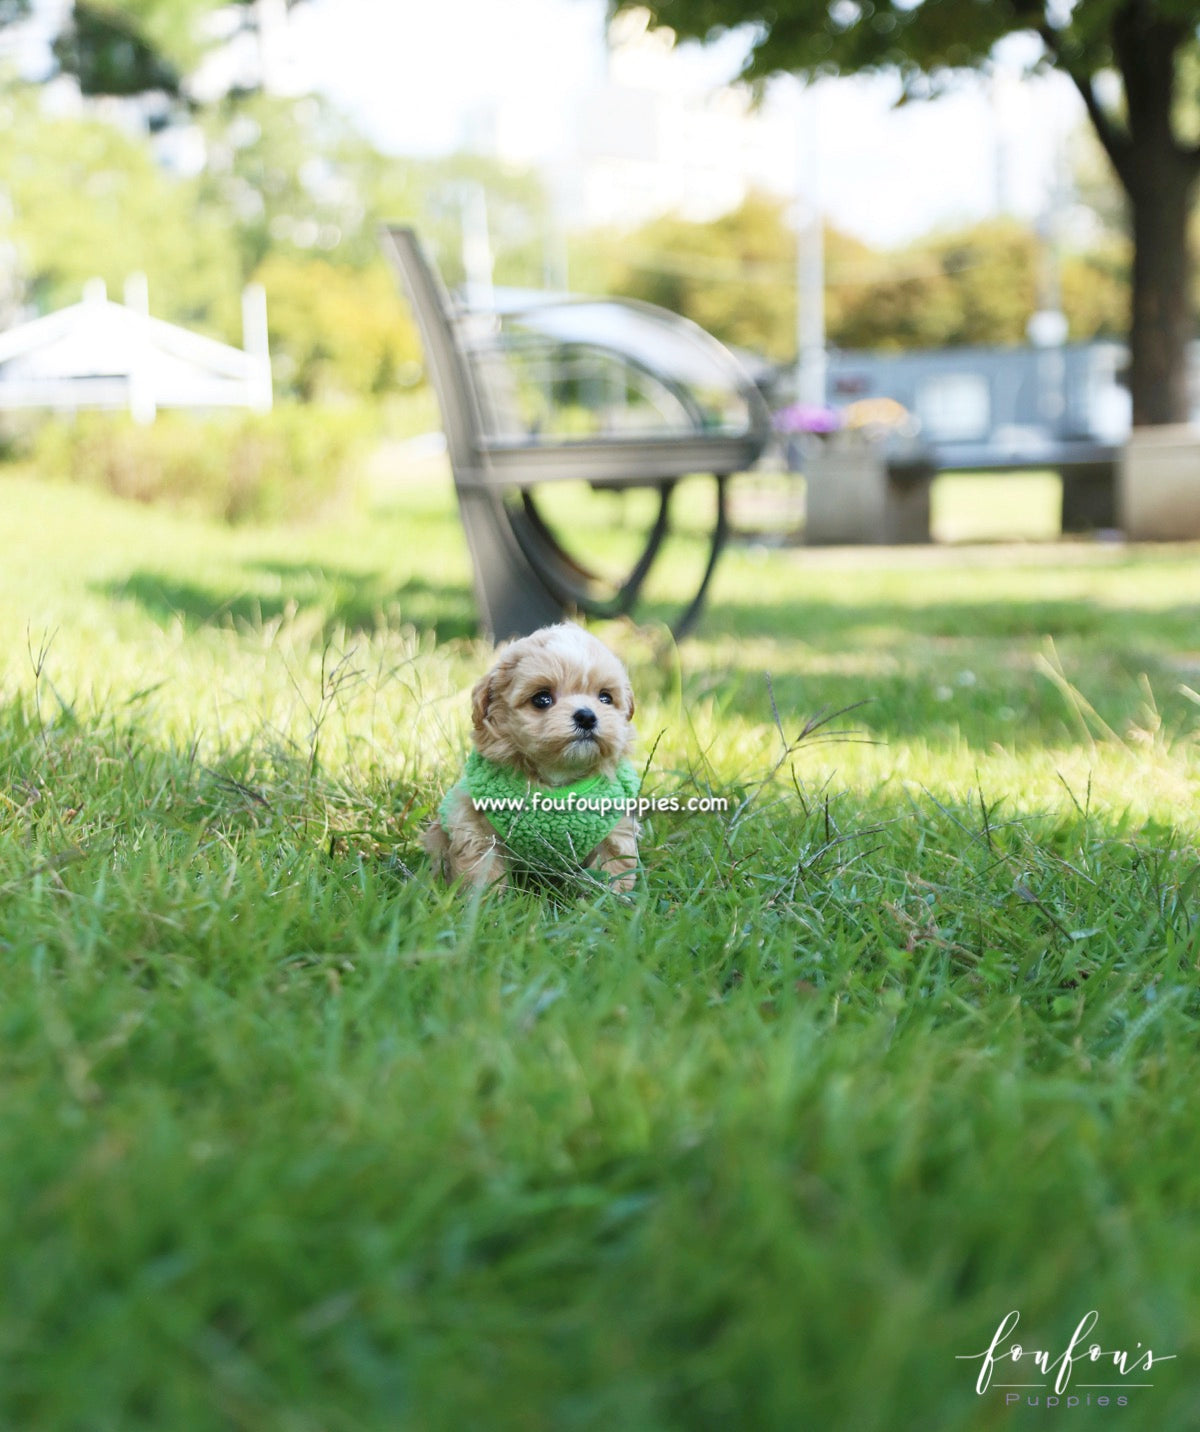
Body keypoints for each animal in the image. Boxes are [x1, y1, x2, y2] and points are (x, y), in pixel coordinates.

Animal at [426, 621, 644, 887]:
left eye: (605, 697)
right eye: (542, 699)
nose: (586, 716)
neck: (558, 776)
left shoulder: (615, 830)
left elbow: (612, 870)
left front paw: (608, 896)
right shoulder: (474, 824)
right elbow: (483, 870)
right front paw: (485, 898)